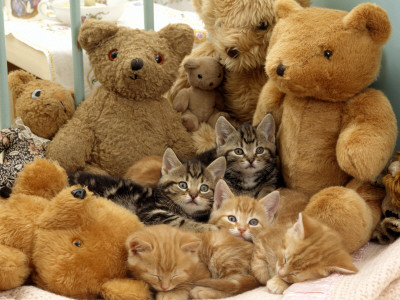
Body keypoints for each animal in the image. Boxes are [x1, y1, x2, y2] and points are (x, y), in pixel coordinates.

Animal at [67, 148, 227, 232]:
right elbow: (181, 221)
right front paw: (209, 228)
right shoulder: (151, 211)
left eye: (204, 188)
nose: (193, 195)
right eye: (183, 185)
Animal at [125, 224, 260, 298]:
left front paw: (173, 293)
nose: (165, 288)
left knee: (233, 286)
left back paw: (203, 291)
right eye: (154, 275)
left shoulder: (203, 272)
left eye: (176, 275)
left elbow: (186, 283)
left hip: (223, 257)